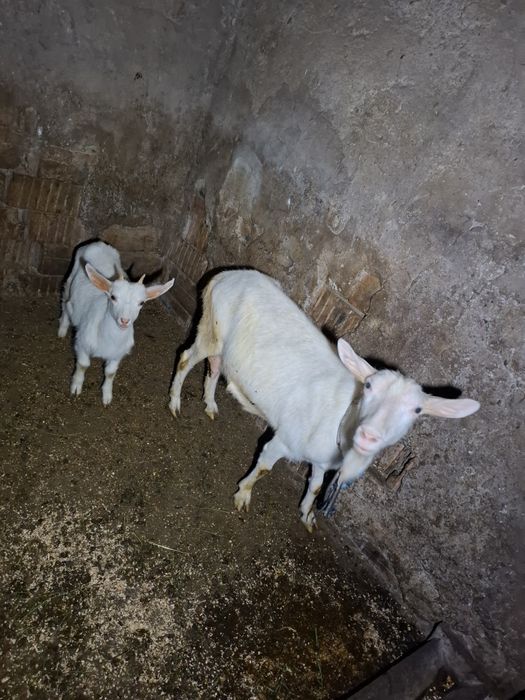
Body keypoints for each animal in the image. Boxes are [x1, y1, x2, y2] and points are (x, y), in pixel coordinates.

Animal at [59, 240, 174, 405]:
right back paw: (62, 329)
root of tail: (97, 242)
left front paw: (107, 396)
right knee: (65, 301)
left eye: (141, 303)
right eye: (113, 297)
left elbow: (110, 373)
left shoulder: (118, 354)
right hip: (70, 278)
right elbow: (83, 365)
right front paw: (76, 387)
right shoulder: (82, 344)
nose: (124, 320)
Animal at [169, 269, 479, 531]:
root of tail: (223, 276)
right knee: (185, 359)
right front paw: (243, 495)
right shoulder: (284, 440)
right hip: (211, 330)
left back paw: (210, 405)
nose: (369, 436)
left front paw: (307, 515)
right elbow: (264, 468)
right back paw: (174, 404)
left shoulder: (321, 461)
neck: (341, 419)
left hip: (221, 341)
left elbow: (317, 486)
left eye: (417, 410)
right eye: (368, 386)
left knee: (214, 366)